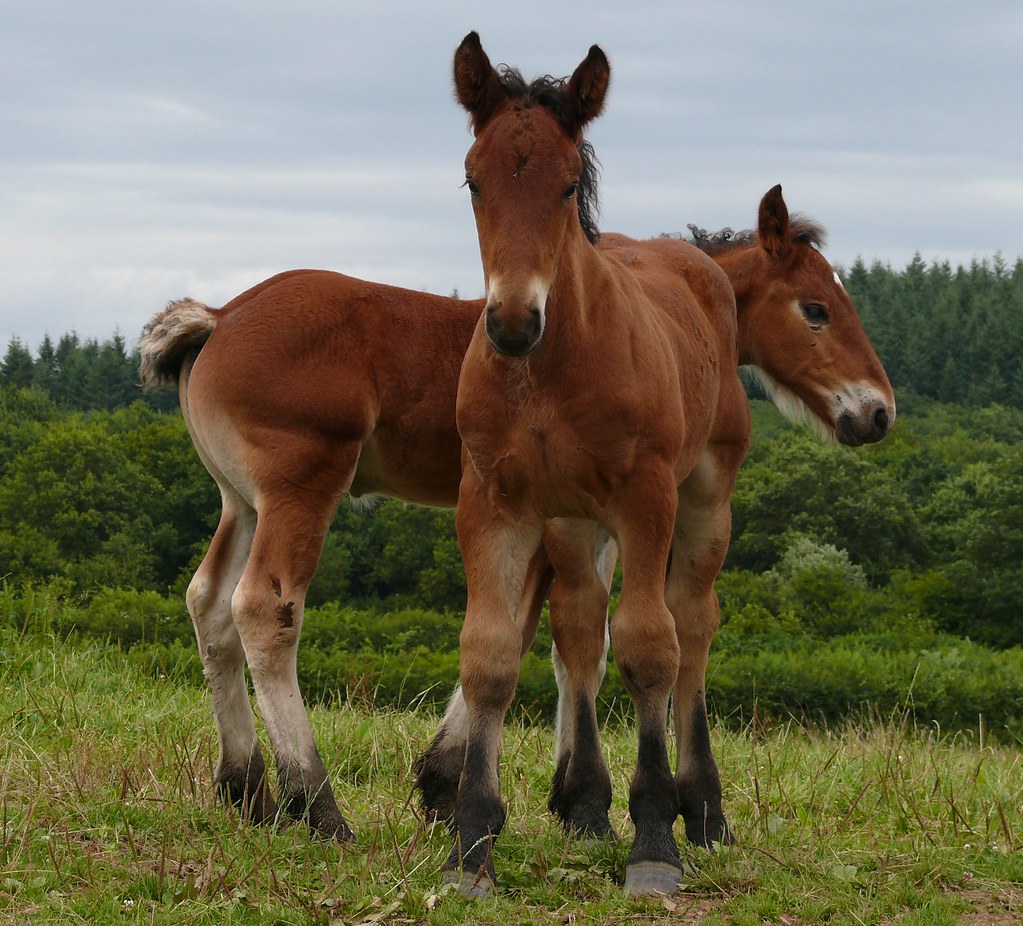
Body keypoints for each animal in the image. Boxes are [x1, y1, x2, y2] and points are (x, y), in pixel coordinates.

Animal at [437, 33, 892, 898]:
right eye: (472, 180)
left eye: (568, 184)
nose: (877, 412)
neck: (547, 370)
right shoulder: (493, 502)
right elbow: (491, 653)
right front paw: (471, 844)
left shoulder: (646, 497)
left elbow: (651, 645)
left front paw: (653, 838)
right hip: (574, 520)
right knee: (581, 627)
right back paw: (589, 808)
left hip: (704, 497)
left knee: (691, 625)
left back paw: (703, 810)